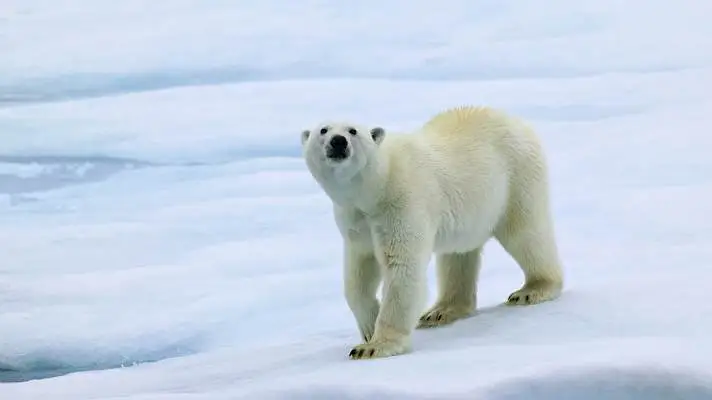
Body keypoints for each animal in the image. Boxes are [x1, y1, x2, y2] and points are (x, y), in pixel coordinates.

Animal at [300, 105, 564, 360]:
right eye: (323, 130)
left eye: (353, 131)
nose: (338, 141)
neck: (375, 187)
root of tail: (518, 121)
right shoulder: (356, 219)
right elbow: (359, 272)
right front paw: (368, 326)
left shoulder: (401, 203)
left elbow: (402, 268)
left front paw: (374, 347)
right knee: (458, 255)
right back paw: (441, 311)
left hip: (516, 178)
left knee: (525, 233)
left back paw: (532, 289)